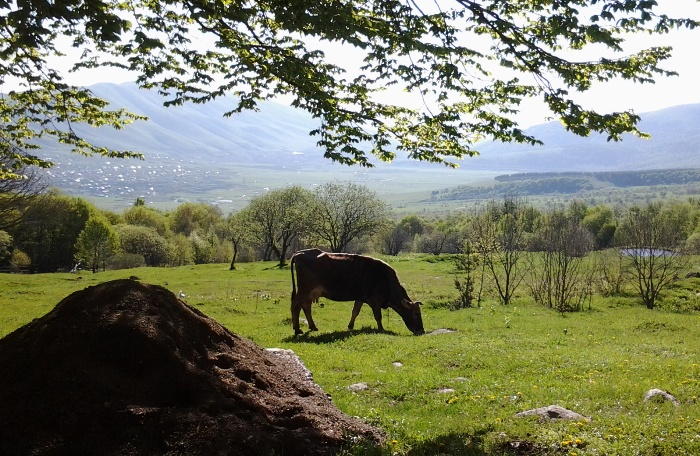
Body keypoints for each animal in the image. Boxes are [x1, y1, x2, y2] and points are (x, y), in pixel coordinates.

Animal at [288, 249, 424, 334]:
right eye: (416, 313)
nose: (422, 331)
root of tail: (300, 253)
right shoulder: (375, 301)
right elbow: (378, 316)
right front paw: (381, 329)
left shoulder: (360, 298)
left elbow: (355, 312)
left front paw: (350, 326)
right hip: (304, 290)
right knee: (296, 305)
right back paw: (297, 330)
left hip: (309, 293)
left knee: (306, 306)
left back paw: (312, 326)